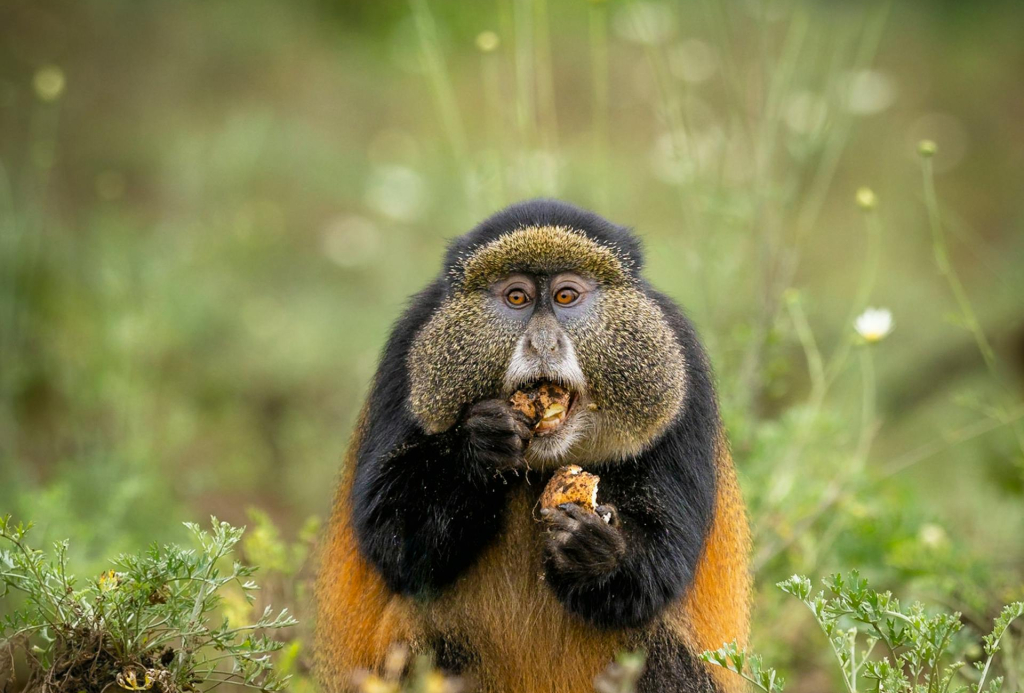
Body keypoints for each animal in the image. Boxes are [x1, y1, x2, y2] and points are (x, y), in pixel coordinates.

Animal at [314, 199, 751, 693]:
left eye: (566, 297)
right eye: (517, 298)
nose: (543, 342)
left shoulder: (681, 364)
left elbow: (664, 564)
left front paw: (594, 550)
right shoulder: (407, 347)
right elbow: (393, 538)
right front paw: (479, 447)